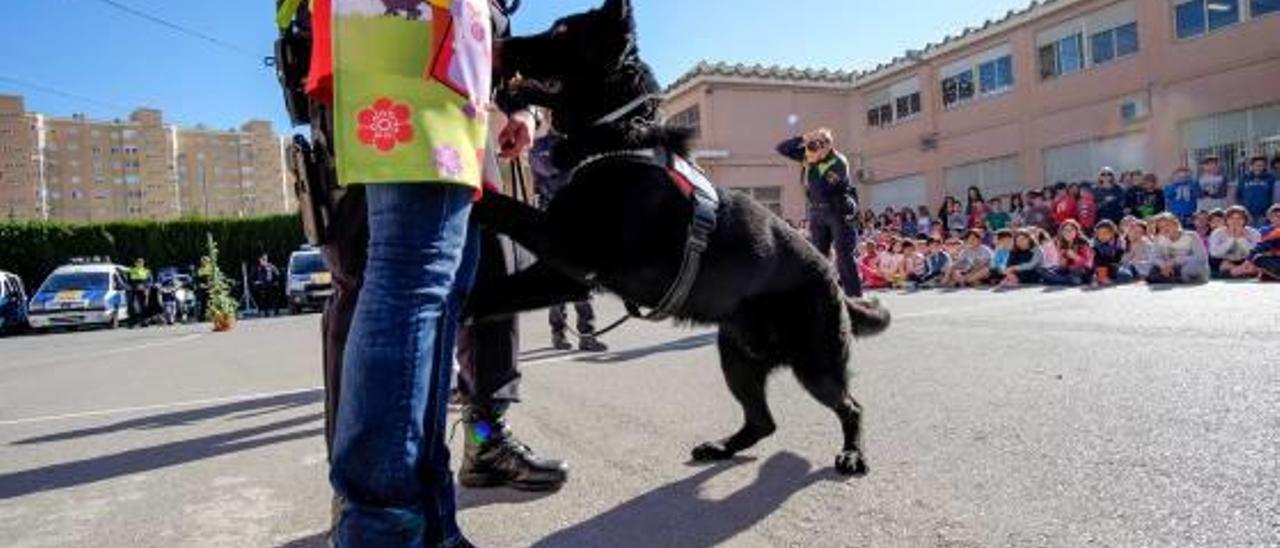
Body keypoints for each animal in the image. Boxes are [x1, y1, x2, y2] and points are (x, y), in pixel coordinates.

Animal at [481, 0, 890, 476]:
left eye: (562, 30)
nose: (498, 41)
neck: (617, 135)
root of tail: (834, 279)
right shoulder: (564, 266)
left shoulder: (568, 258)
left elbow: (499, 225)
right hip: (736, 356)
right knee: (763, 421)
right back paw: (723, 447)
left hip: (815, 365)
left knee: (851, 406)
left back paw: (853, 452)